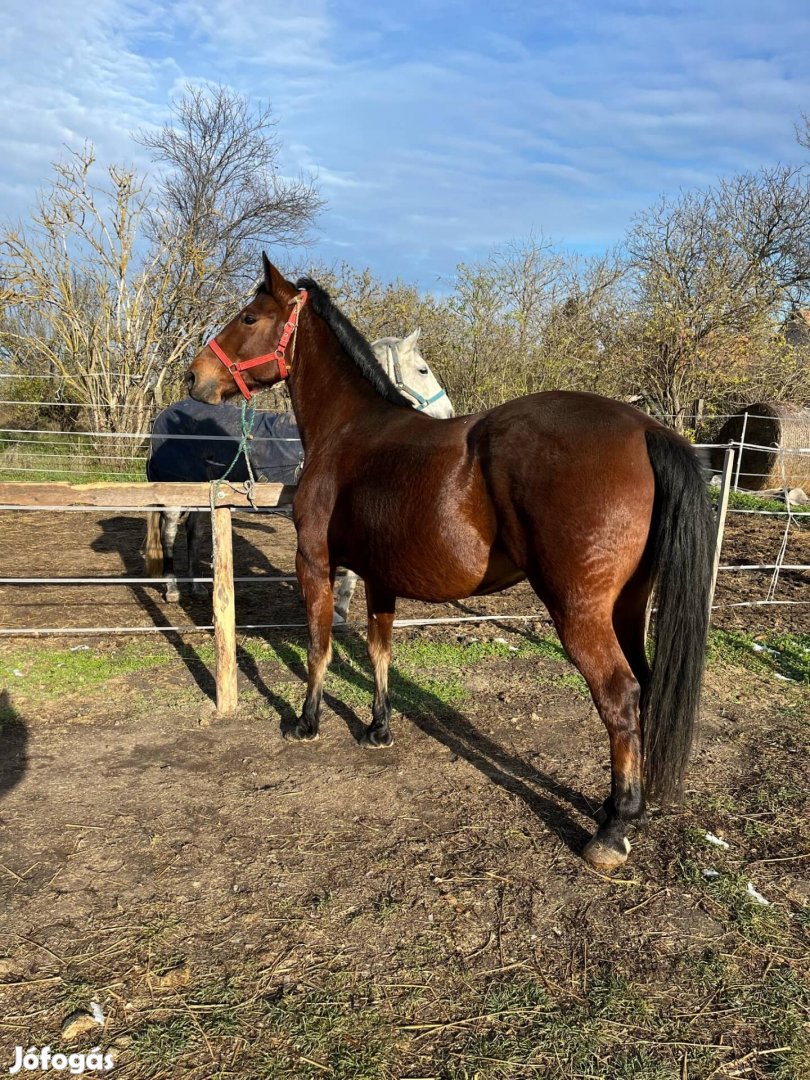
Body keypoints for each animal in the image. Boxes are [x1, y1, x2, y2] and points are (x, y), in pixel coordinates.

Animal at [186, 252, 712, 868]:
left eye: (248, 317)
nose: (195, 376)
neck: (349, 430)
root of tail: (648, 429)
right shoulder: (380, 578)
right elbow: (378, 651)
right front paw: (377, 728)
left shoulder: (314, 564)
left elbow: (319, 646)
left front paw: (305, 723)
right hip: (627, 606)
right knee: (647, 685)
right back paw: (622, 809)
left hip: (580, 612)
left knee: (621, 696)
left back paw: (612, 829)